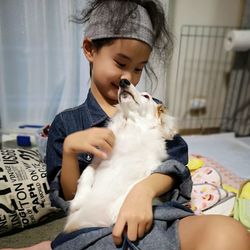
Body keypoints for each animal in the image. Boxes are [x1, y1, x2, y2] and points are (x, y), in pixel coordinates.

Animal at [65, 79, 178, 232]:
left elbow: (137, 185)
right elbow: (86, 174)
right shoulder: (96, 160)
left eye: (146, 96)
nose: (123, 81)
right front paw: (79, 201)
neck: (132, 127)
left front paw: (118, 209)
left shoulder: (151, 167)